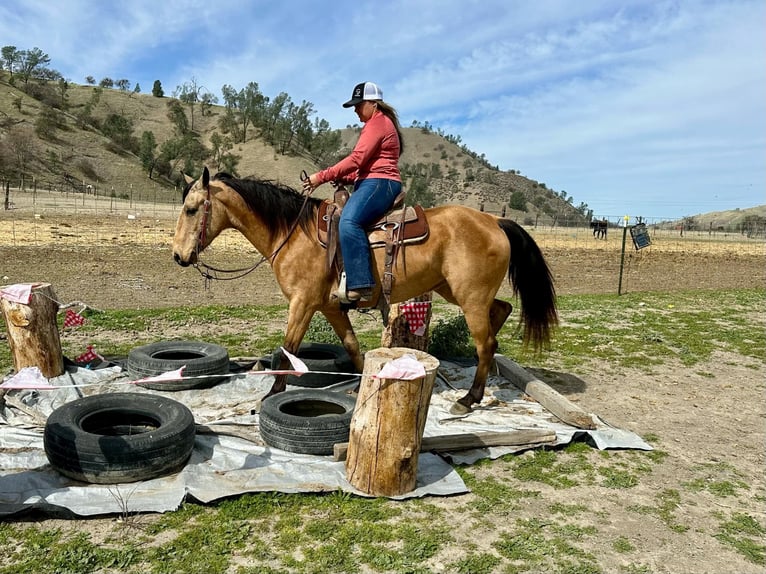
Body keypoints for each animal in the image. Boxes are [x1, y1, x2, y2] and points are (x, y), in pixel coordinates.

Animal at [171, 167, 558, 414]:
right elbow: (352, 347)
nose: (178, 256)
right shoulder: (329, 307)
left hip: (470, 298)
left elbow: (287, 350)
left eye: (191, 209)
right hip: (454, 290)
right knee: (502, 311)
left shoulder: (302, 303)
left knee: (485, 341)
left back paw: (469, 397)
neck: (294, 233)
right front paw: (361, 383)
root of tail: (494, 220)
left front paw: (272, 393)